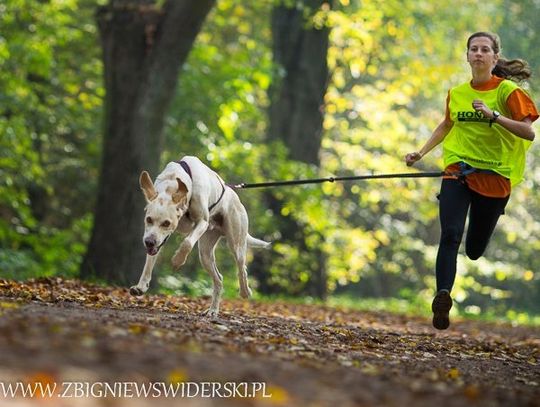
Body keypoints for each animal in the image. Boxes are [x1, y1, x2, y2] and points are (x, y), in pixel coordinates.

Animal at [129, 155, 272, 318]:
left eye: (166, 223)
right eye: (148, 219)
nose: (149, 242)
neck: (173, 181)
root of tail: (234, 195)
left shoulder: (202, 222)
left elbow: (187, 243)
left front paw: (177, 260)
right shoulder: (157, 240)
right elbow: (149, 263)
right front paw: (141, 286)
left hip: (236, 244)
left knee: (242, 269)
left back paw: (244, 291)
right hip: (205, 254)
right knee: (219, 280)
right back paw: (213, 310)